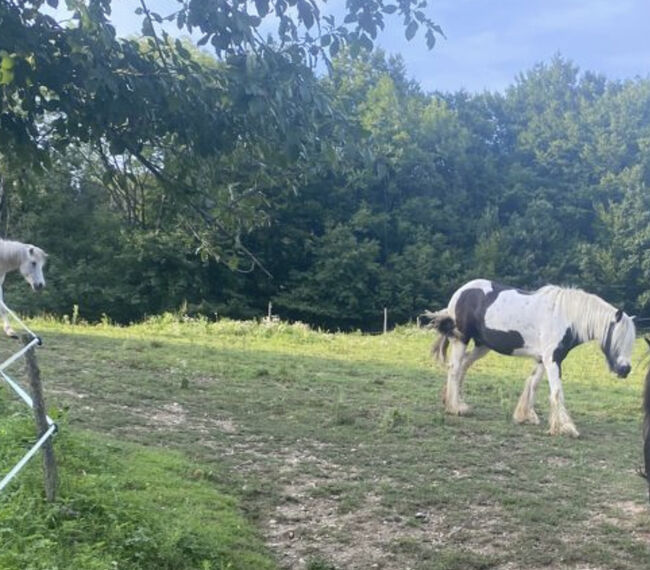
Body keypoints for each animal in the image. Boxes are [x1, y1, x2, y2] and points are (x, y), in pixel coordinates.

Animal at [426, 278, 632, 434]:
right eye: (617, 338)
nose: (625, 370)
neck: (565, 317)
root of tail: (461, 291)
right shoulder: (552, 360)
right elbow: (556, 391)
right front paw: (566, 427)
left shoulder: (544, 359)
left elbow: (533, 383)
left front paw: (525, 416)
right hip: (461, 339)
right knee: (454, 369)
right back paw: (456, 408)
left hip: (482, 346)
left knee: (464, 366)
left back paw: (454, 402)